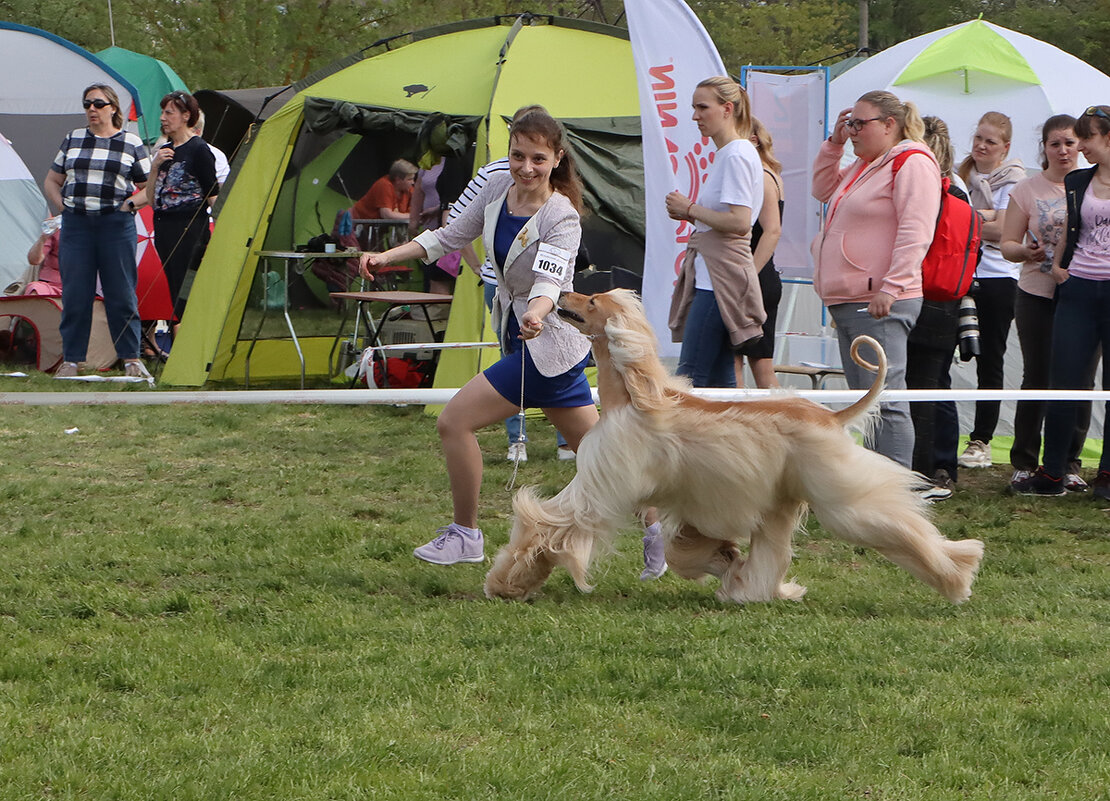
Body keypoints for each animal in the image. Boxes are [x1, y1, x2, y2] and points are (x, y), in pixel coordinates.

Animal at [481, 290, 985, 603]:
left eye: (590, 300)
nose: (562, 294)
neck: (633, 394)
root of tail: (829, 416)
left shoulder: (600, 487)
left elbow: (547, 527)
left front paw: (508, 583)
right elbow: (689, 549)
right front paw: (727, 562)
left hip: (838, 493)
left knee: (895, 525)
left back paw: (957, 576)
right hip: (780, 500)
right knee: (772, 553)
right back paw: (757, 591)